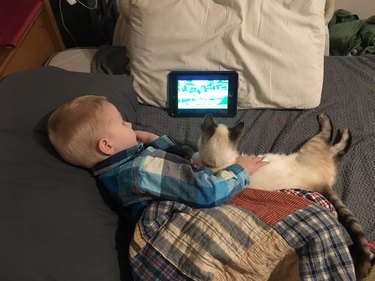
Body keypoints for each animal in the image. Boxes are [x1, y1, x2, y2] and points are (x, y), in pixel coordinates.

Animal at [195, 113, 374, 278]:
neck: (217, 164)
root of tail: (322, 184)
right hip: (313, 145)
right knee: (333, 143)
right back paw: (338, 127)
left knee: (335, 147)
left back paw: (338, 128)